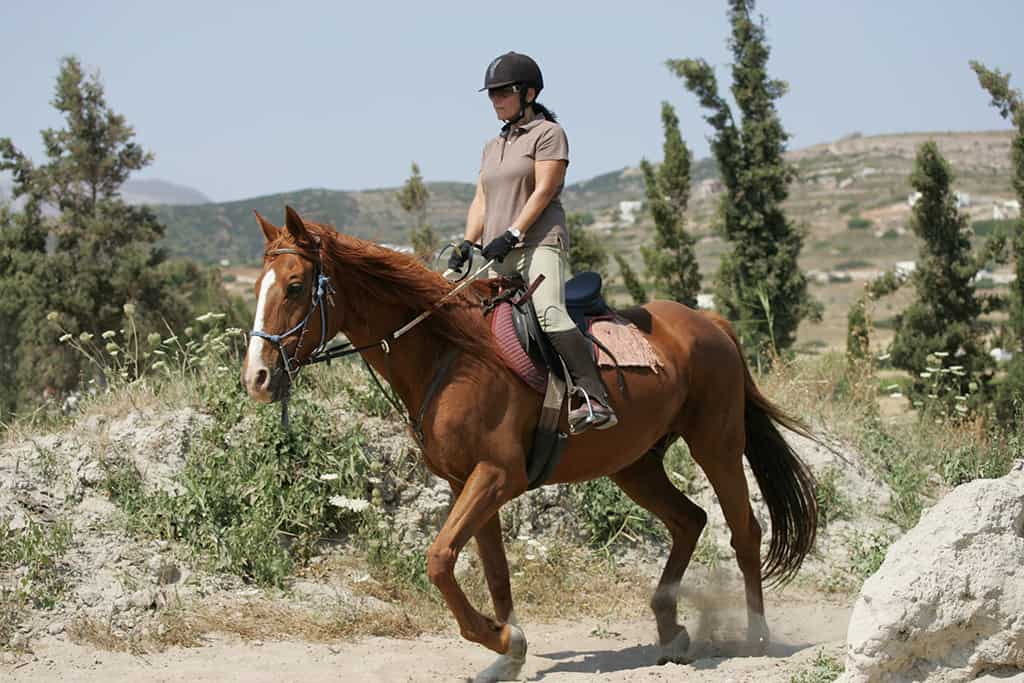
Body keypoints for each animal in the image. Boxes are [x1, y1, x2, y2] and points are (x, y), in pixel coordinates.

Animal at [239, 208, 815, 683]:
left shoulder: (497, 476)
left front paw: (502, 637)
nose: (257, 378)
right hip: (633, 466)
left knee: (744, 531)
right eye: (258, 290)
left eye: (295, 286)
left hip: (716, 445)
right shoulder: (466, 483)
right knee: (689, 520)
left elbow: (439, 560)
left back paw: (755, 636)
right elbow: (492, 571)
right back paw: (670, 630)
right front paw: (508, 652)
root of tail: (708, 322)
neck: (451, 353)